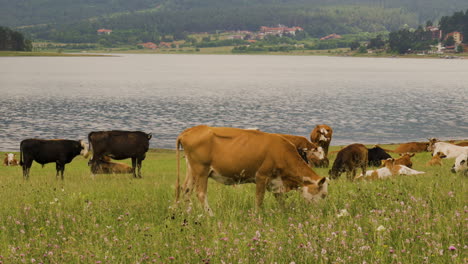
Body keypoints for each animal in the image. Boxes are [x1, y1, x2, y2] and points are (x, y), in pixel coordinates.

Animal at [176, 125, 330, 214]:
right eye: (323, 195)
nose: (322, 212)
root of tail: (190, 130)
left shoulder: (275, 182)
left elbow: (280, 200)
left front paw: (284, 213)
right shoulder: (261, 176)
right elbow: (259, 199)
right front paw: (257, 217)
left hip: (192, 170)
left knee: (186, 190)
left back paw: (187, 213)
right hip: (201, 170)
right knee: (201, 193)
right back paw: (210, 215)